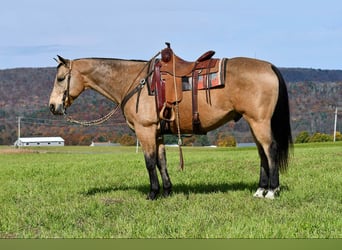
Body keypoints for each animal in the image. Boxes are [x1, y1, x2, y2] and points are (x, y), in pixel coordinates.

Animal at [49, 44, 292, 200]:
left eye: (61, 78)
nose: (53, 106)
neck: (134, 82)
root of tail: (269, 67)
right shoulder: (157, 132)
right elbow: (161, 161)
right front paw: (167, 190)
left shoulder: (145, 130)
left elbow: (149, 162)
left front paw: (152, 193)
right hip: (254, 123)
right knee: (262, 153)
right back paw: (260, 190)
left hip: (259, 122)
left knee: (270, 150)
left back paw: (272, 191)